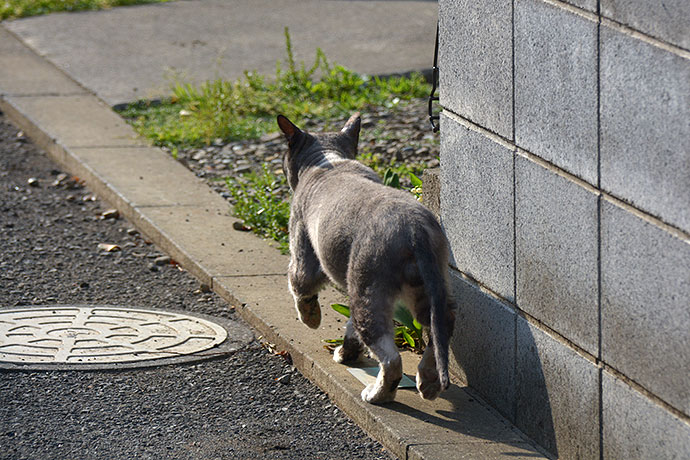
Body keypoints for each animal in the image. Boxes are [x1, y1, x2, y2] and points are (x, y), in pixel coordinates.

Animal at [276, 113, 454, 404]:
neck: (328, 160)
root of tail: (414, 229)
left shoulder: (303, 250)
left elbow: (299, 287)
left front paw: (311, 319)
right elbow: (349, 330)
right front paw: (347, 354)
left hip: (368, 287)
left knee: (390, 358)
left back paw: (378, 395)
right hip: (429, 286)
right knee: (440, 329)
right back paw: (428, 384)